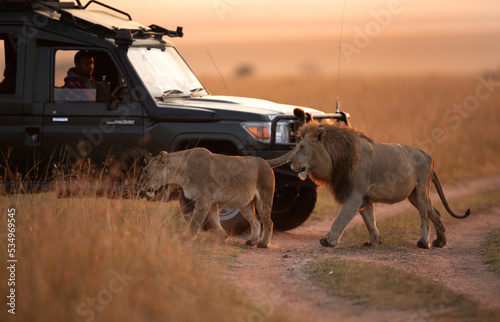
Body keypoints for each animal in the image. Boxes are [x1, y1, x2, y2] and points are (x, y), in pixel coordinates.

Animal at [139, 147, 276, 248]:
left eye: (145, 171)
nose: (140, 186)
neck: (180, 172)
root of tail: (266, 162)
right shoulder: (210, 201)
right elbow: (214, 220)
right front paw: (222, 237)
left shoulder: (204, 200)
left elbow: (195, 222)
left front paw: (187, 239)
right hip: (245, 205)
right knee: (256, 221)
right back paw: (251, 241)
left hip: (264, 199)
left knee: (269, 222)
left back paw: (263, 244)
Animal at [288, 108, 470, 249]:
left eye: (301, 147)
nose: (289, 161)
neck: (336, 158)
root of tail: (429, 156)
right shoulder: (364, 197)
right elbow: (370, 220)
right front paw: (374, 241)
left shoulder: (355, 195)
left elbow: (341, 218)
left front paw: (329, 240)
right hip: (414, 195)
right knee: (435, 212)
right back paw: (440, 241)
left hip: (420, 189)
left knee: (424, 217)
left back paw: (424, 243)